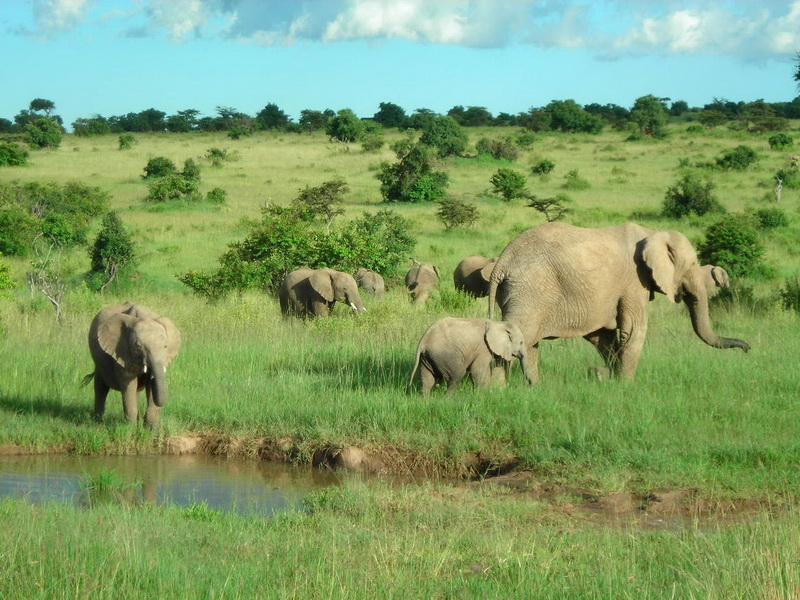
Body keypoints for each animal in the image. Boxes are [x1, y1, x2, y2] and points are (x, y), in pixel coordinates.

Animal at [488, 223, 752, 382]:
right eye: (693, 265)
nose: (747, 349)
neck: (652, 232)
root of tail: (502, 261)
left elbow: (602, 337)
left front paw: (610, 378)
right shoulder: (634, 282)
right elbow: (634, 329)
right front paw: (626, 385)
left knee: (529, 343)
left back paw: (534, 386)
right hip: (530, 289)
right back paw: (499, 389)